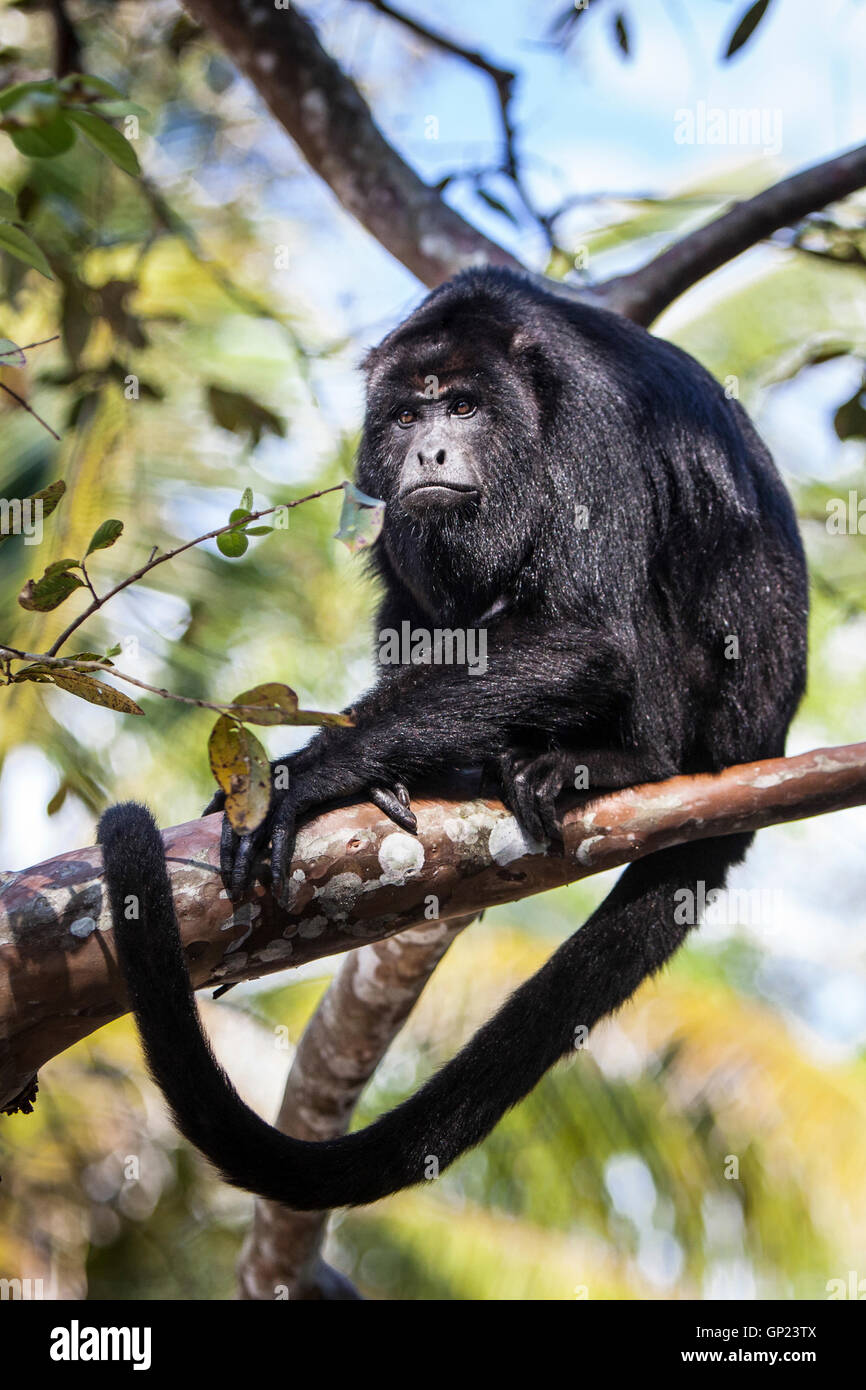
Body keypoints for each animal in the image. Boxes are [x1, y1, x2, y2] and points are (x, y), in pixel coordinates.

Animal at [97, 268, 811, 1206]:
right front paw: (367, 772)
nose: (430, 453)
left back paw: (615, 764)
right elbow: (409, 613)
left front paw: (305, 776)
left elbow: (583, 631)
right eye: (408, 416)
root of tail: (768, 739)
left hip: (720, 712)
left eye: (464, 408)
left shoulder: (594, 422)